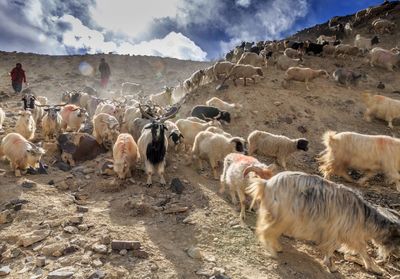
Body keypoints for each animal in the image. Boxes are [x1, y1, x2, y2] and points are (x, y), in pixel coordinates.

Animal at [247, 172, 400, 274]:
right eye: (398, 236)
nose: (397, 255)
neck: (363, 216)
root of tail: (266, 184)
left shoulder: (347, 235)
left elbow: (361, 249)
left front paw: (374, 268)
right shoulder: (337, 232)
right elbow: (340, 249)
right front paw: (332, 267)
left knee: (267, 229)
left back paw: (277, 246)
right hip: (285, 217)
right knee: (265, 231)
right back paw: (272, 251)